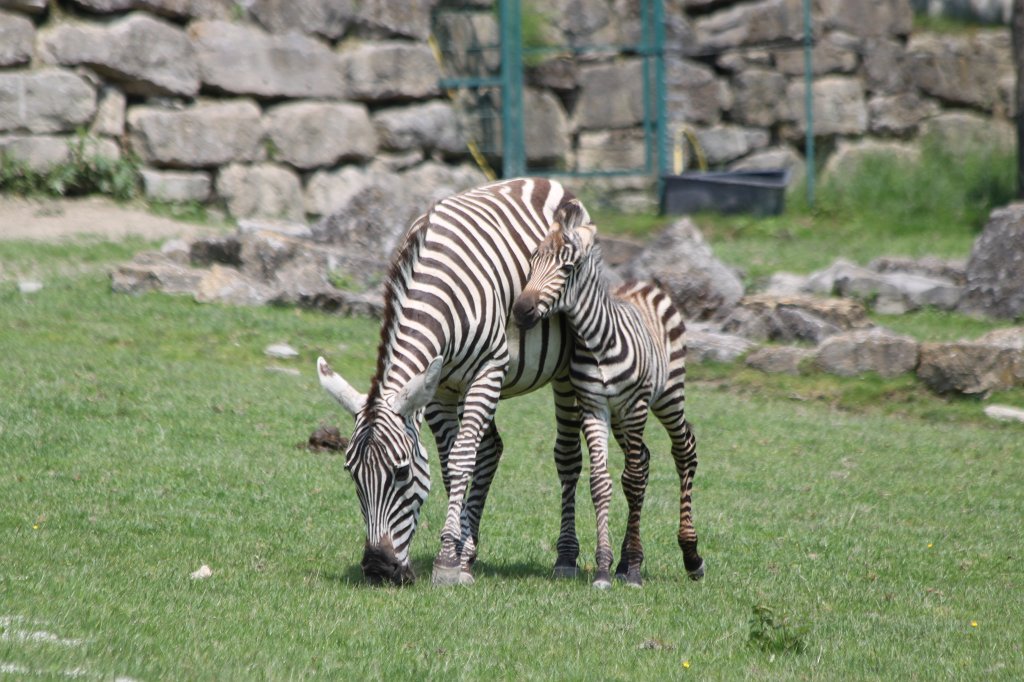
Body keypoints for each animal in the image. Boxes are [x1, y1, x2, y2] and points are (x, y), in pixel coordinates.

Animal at [316, 178, 591, 586]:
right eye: (352, 473)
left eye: (401, 472)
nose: (378, 569)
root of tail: (543, 181)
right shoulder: (436, 388)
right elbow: (450, 464)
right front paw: (458, 553)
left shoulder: (488, 368)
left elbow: (461, 460)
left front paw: (447, 561)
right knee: (489, 448)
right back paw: (470, 549)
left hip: (563, 371)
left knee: (567, 458)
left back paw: (566, 558)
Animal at [511, 200, 705, 587]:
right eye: (533, 261)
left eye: (567, 268)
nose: (521, 311)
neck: (598, 341)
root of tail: (645, 283)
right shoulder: (594, 407)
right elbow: (602, 482)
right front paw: (605, 567)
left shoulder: (637, 404)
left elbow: (631, 480)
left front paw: (633, 571)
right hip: (621, 416)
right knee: (644, 457)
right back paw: (627, 560)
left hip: (667, 395)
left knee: (684, 450)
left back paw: (691, 556)